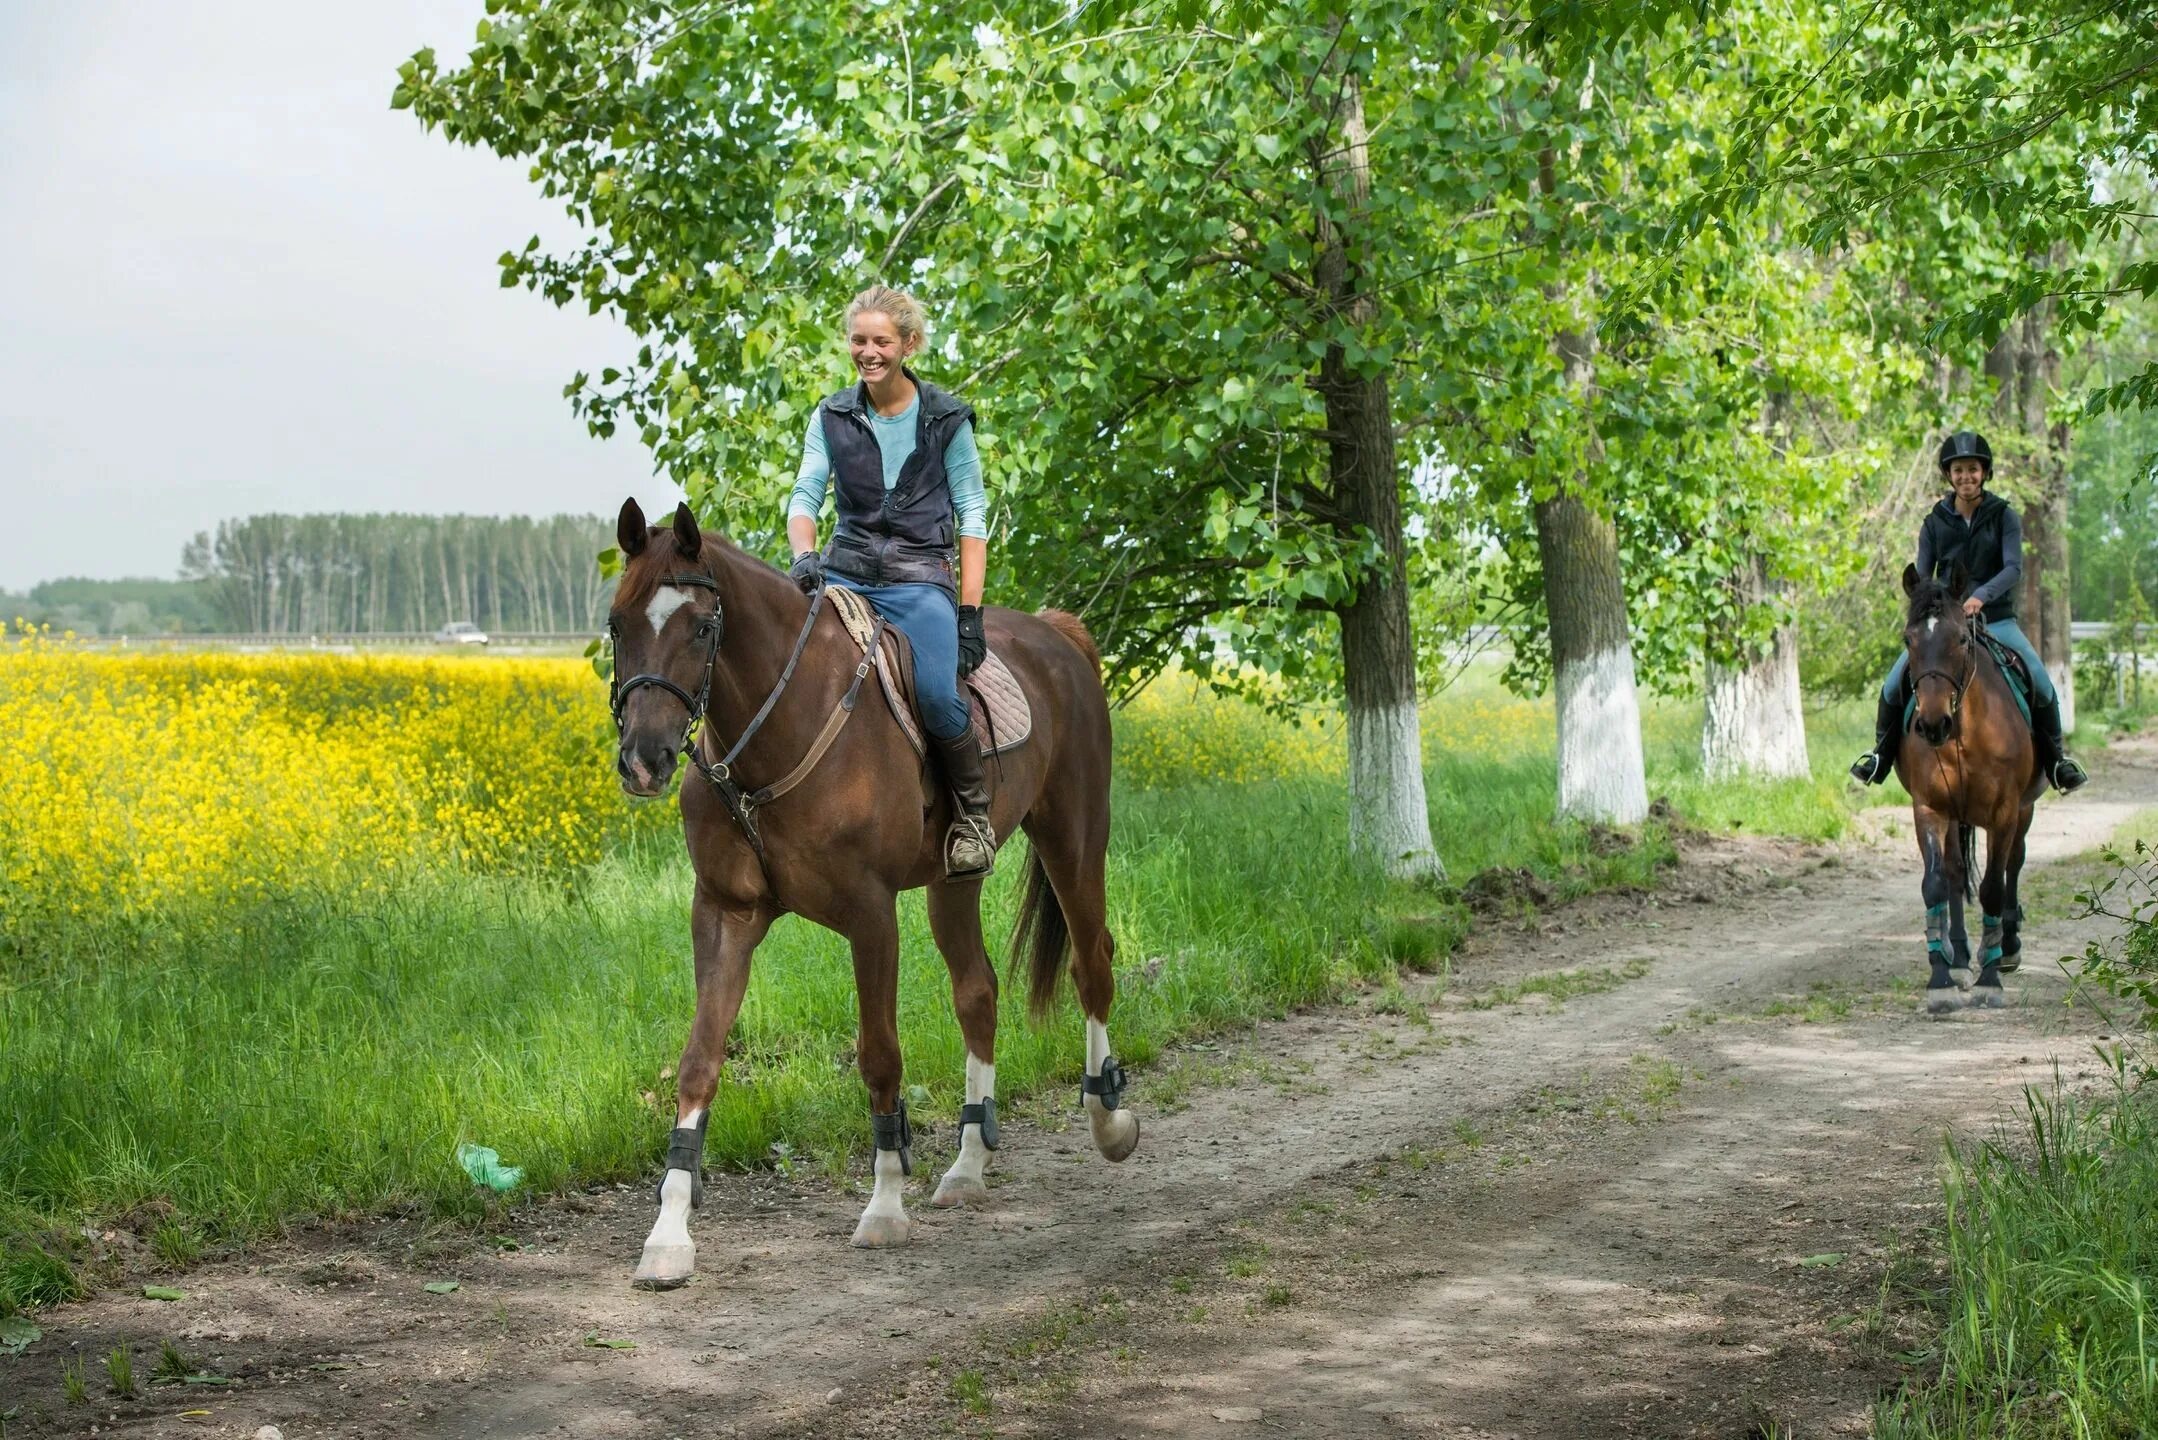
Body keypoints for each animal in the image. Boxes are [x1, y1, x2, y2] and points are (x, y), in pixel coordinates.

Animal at [608, 500, 1139, 1286]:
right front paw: (669, 1234)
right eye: (618, 624)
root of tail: (1057, 633)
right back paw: (967, 1165)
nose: (645, 760)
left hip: (1073, 839)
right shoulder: (726, 915)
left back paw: (1109, 1121)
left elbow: (880, 1055)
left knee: (1091, 965)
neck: (782, 722)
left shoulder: (870, 915)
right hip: (956, 881)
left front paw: (885, 1207)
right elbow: (700, 1061)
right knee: (978, 993)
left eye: (702, 627)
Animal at [1907, 561, 2037, 1014]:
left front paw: (1990, 980)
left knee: (2014, 862)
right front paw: (1942, 980)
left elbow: (1993, 888)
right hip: (1955, 818)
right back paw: (1961, 957)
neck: (1965, 732)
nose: (1932, 725)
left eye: (1961, 638)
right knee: (1954, 872)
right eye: (1908, 640)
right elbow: (1934, 884)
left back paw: (2005, 949)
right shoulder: (1930, 808)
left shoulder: (2004, 812)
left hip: (2023, 811)